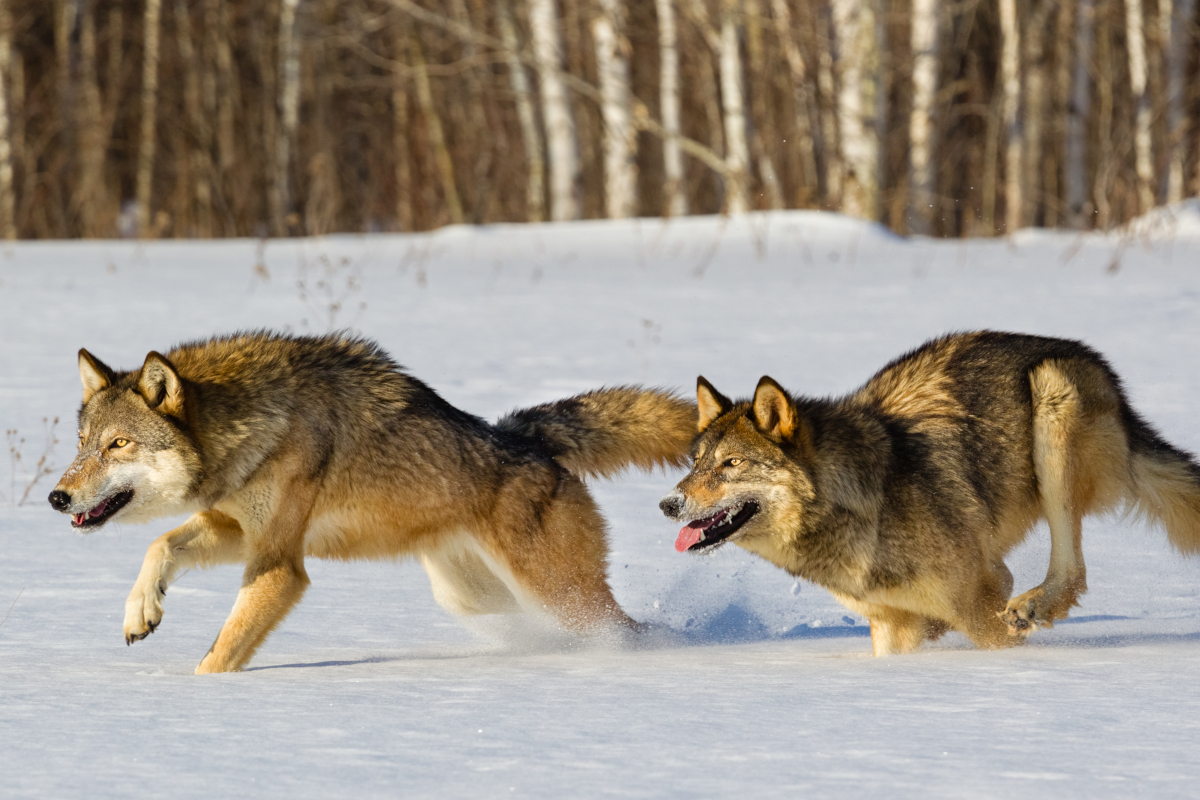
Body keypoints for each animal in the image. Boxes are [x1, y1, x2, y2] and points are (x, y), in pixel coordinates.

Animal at [49, 331, 696, 676]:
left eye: (118, 445)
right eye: (81, 444)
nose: (57, 497)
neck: (254, 425)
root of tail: (525, 437)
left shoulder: (280, 566)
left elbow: (221, 651)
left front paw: (193, 692)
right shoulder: (238, 530)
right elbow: (160, 545)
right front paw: (142, 612)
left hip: (555, 593)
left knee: (623, 628)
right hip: (473, 597)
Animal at [662, 331, 1200, 657]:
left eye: (731, 464)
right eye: (696, 463)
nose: (668, 504)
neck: (863, 506)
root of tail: (1098, 364)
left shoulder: (980, 598)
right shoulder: (891, 624)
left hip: (1051, 403)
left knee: (1072, 570)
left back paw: (1033, 606)